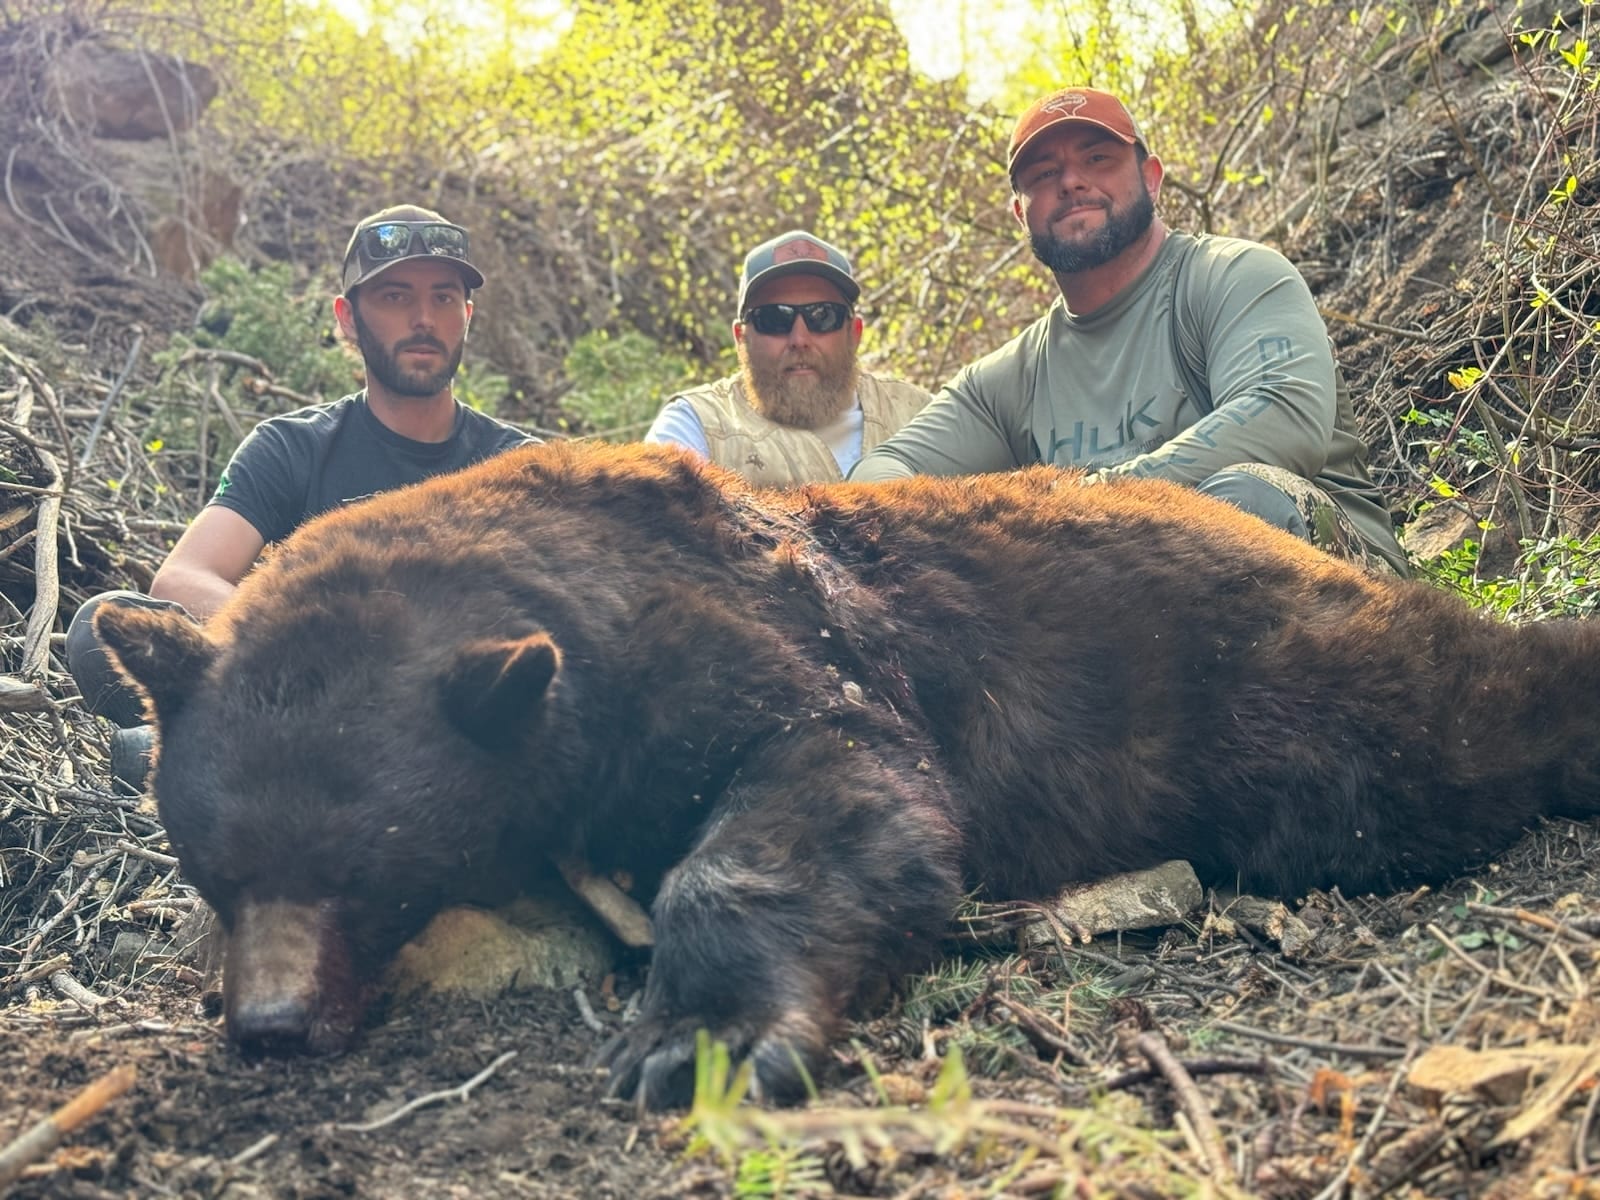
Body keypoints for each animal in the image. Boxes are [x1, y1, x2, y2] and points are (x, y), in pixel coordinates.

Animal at [95, 439, 1600, 1110]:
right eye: (215, 869)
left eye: (367, 870)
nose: (272, 1023)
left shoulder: (739, 638)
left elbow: (846, 783)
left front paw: (694, 1037)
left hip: (1257, 684)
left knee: (1417, 738)